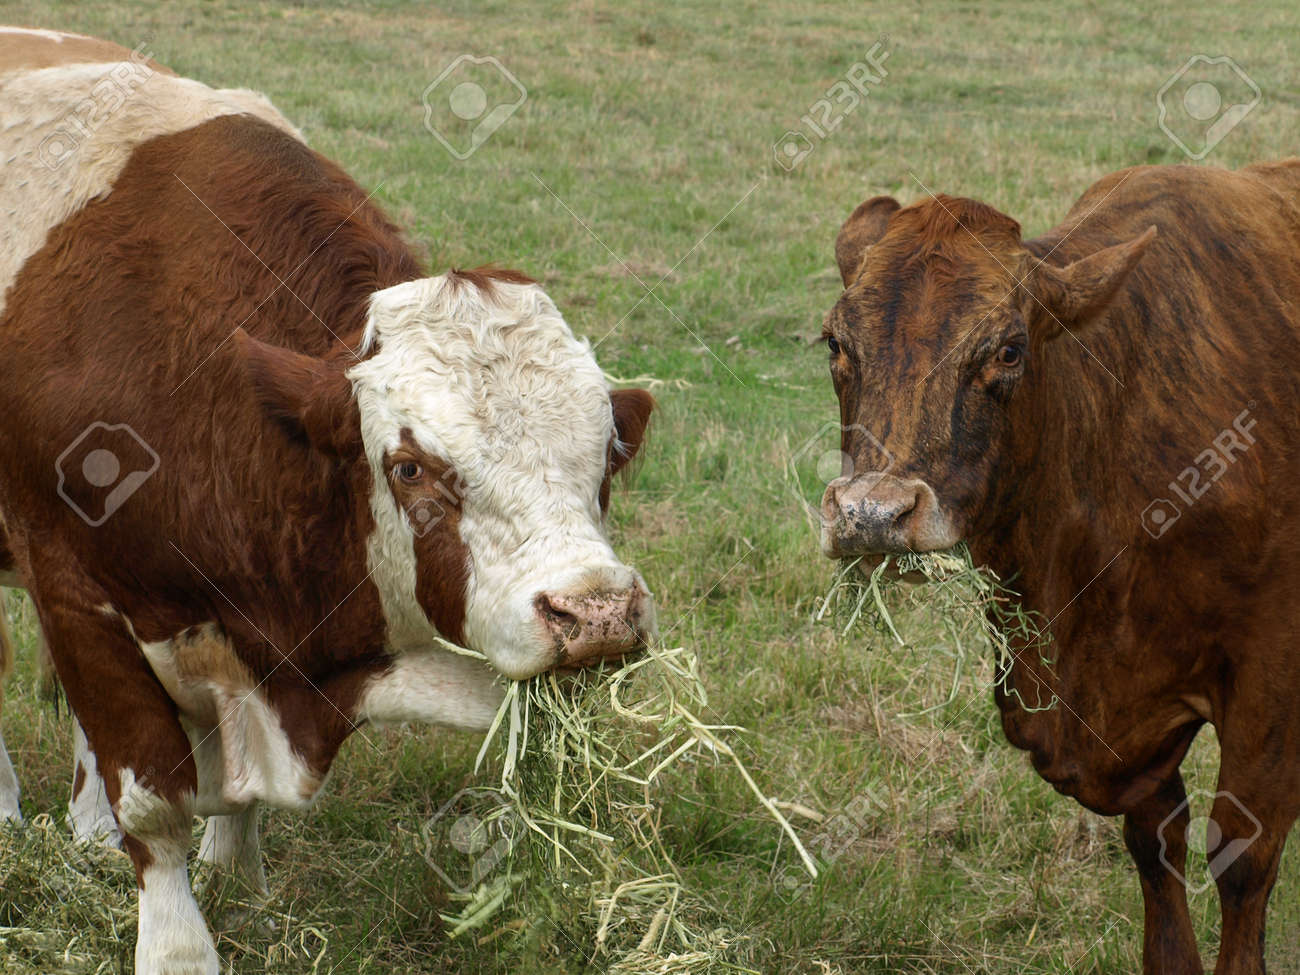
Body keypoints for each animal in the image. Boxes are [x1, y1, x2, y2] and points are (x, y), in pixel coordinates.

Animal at [0, 28, 656, 975]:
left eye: (606, 455)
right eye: (410, 468)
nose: (598, 610)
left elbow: (227, 798)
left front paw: (239, 882)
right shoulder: (75, 593)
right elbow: (154, 806)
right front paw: (177, 943)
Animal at [819, 161, 1300, 975]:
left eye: (1009, 349)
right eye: (834, 344)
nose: (872, 514)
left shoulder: (1270, 678)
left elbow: (1242, 857)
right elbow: (1155, 843)